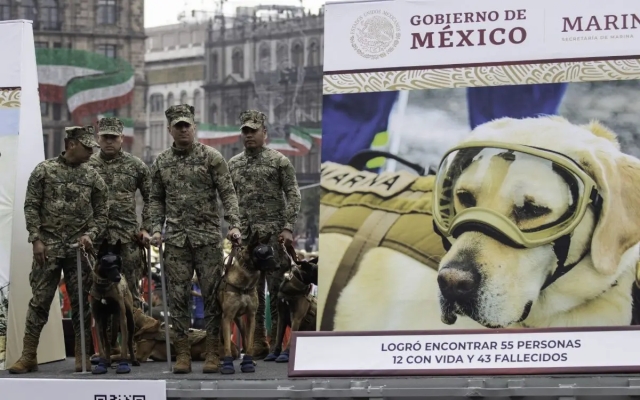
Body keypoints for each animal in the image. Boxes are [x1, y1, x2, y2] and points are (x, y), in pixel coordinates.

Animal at [90, 241, 139, 376]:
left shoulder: (122, 317)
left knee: (129, 341)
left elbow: (123, 346)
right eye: (108, 264)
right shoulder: (98, 320)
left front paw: (123, 365)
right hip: (105, 322)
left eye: (118, 264)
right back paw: (107, 362)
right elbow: (101, 345)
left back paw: (134, 360)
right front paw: (101, 364)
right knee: (107, 343)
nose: (118, 278)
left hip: (130, 320)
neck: (103, 289)